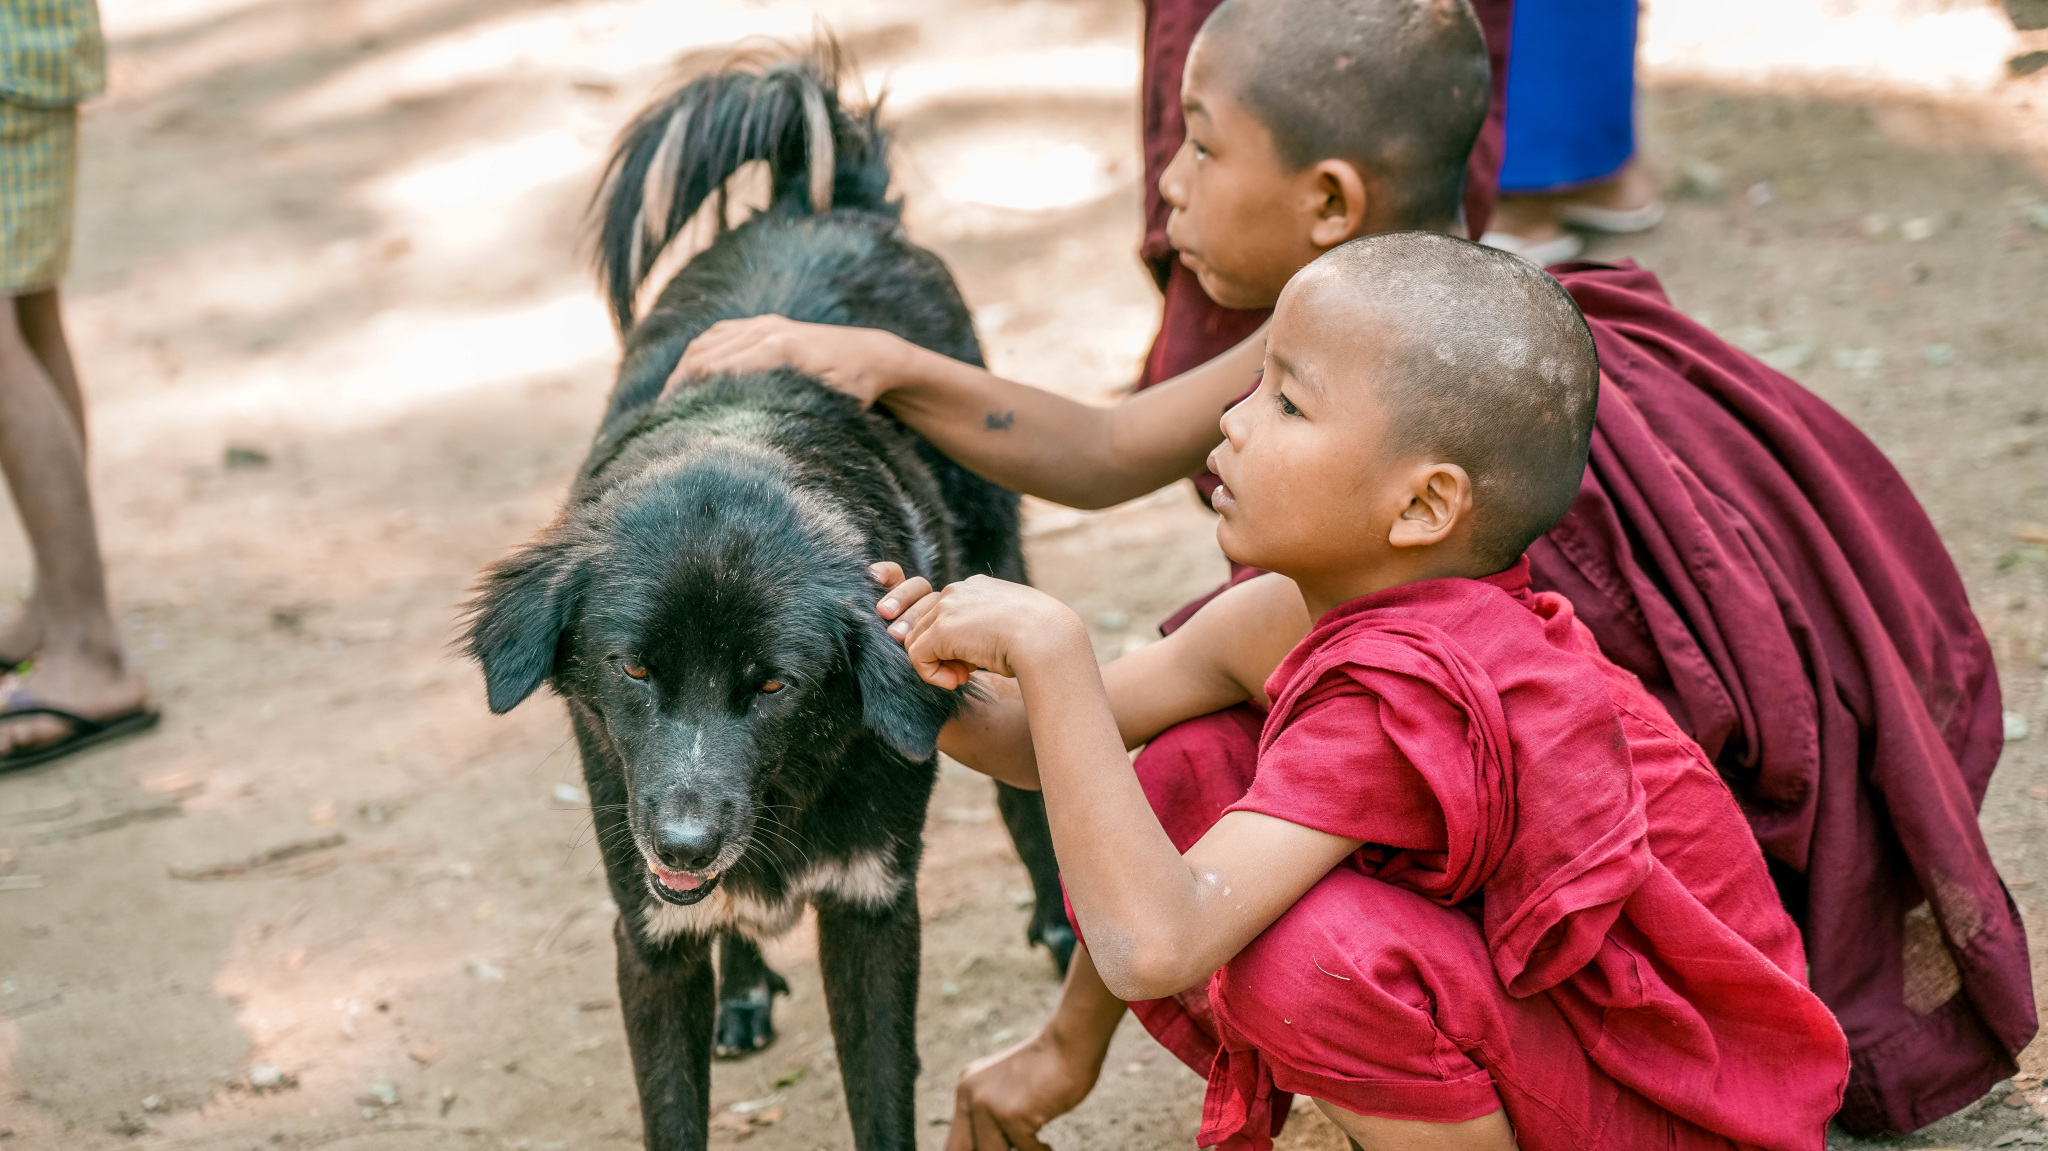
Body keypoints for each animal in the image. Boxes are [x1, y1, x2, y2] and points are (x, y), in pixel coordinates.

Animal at [466, 47, 1073, 1146]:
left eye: (775, 686)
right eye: (632, 667)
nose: (683, 839)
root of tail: (816, 200)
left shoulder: (875, 906)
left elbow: (881, 1100)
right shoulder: (647, 933)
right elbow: (674, 1103)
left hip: (999, 553)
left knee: (1025, 784)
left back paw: (1055, 920)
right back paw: (744, 986)